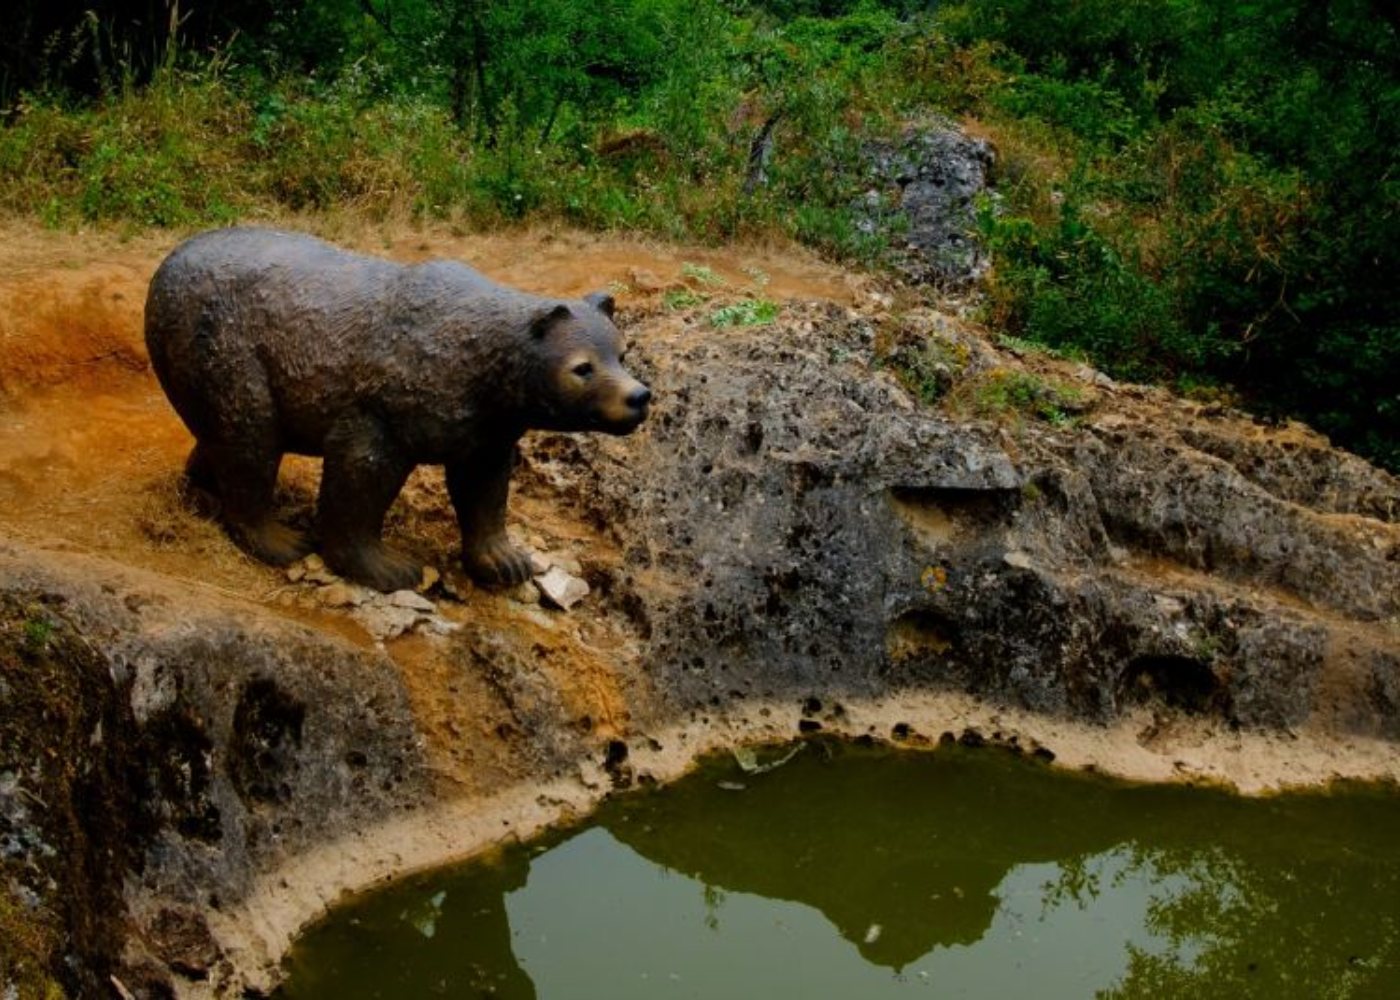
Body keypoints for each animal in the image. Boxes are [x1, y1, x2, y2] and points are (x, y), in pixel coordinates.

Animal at [144, 227, 650, 592]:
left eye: (622, 353)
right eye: (582, 367)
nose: (638, 397)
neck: (480, 371)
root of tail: (168, 263)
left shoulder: (486, 427)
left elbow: (483, 485)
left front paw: (506, 561)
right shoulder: (386, 400)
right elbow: (361, 475)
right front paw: (387, 566)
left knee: (222, 432)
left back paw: (202, 485)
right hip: (225, 343)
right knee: (249, 432)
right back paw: (278, 538)